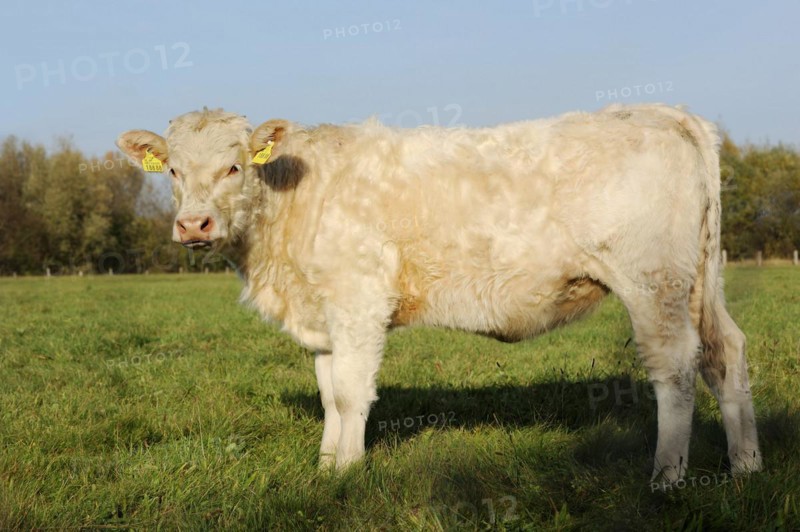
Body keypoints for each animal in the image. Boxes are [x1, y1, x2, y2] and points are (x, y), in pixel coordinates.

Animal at [117, 104, 762, 484]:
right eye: (172, 171)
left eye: (233, 167)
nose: (193, 225)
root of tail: (656, 110)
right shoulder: (323, 313)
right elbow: (328, 394)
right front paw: (324, 469)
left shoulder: (358, 301)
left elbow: (351, 394)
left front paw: (348, 472)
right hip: (698, 279)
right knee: (725, 352)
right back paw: (746, 467)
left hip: (654, 281)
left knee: (675, 367)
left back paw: (666, 478)